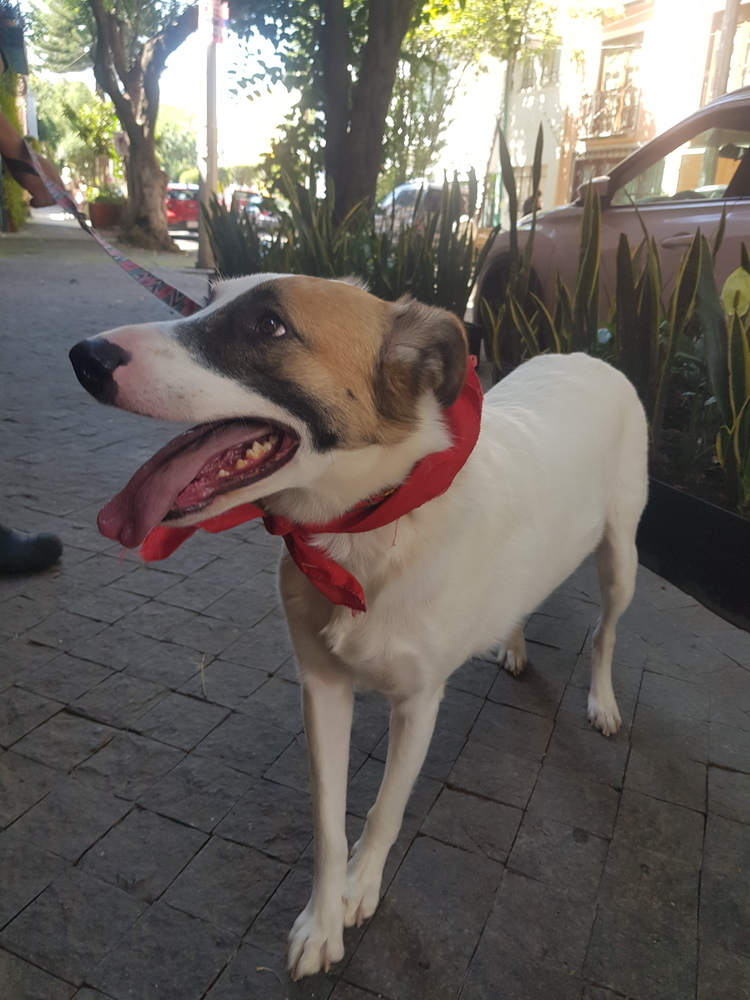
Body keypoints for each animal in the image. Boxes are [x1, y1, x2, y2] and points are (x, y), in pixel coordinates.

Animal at [67, 274, 648, 976]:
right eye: (206, 298)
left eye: (269, 325)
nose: (84, 357)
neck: (363, 533)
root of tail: (588, 357)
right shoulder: (322, 687)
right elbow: (327, 821)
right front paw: (322, 921)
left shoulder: (418, 704)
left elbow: (385, 811)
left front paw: (360, 887)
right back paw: (510, 643)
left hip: (622, 558)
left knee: (605, 631)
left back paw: (603, 702)